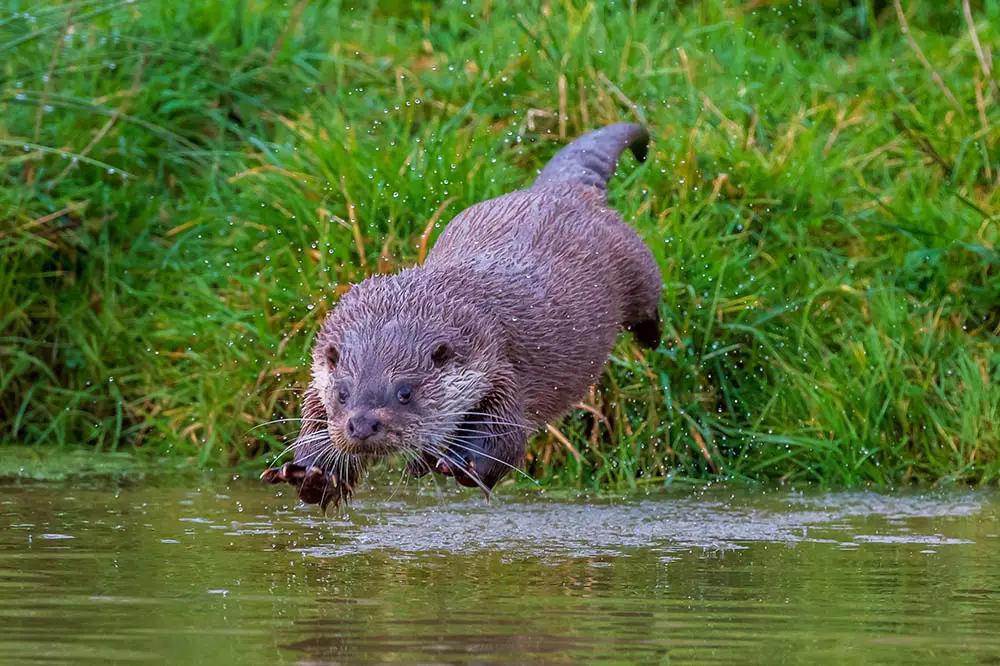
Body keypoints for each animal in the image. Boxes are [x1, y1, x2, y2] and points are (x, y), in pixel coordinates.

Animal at [262, 123, 660, 508]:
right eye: (343, 393)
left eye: (404, 392)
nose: (362, 425)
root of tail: (564, 190)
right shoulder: (317, 385)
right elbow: (315, 431)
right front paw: (313, 475)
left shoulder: (502, 370)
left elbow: (506, 437)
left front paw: (461, 463)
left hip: (633, 256)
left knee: (650, 296)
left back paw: (651, 338)